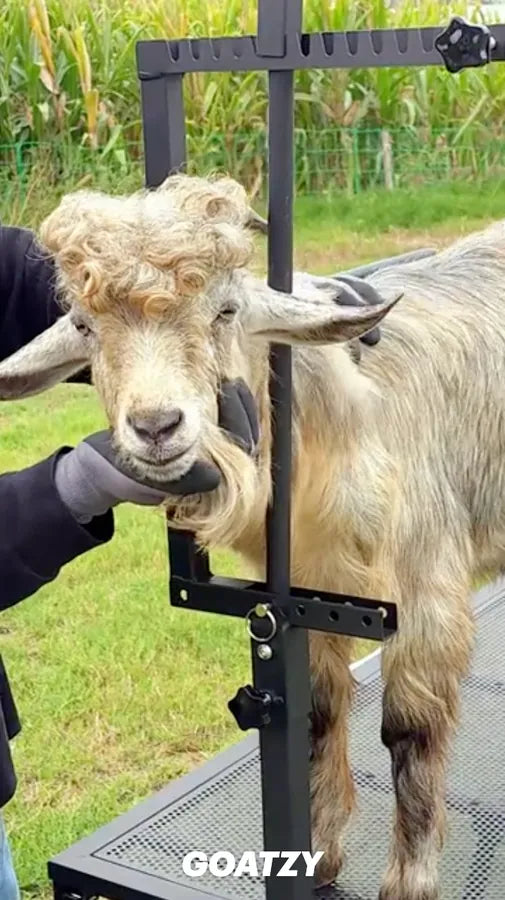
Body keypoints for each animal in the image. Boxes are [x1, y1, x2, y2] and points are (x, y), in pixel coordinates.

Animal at [1, 173, 503, 900]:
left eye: (226, 311)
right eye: (85, 326)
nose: (156, 425)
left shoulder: (424, 584)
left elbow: (407, 729)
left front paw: (408, 881)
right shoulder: (300, 595)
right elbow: (317, 712)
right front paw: (317, 854)